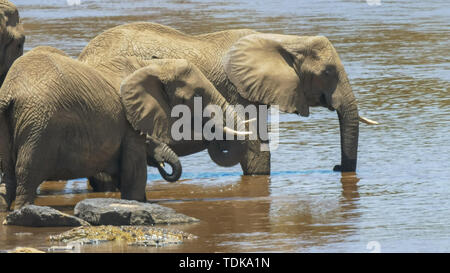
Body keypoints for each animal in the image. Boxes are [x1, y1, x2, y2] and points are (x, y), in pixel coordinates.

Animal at [0, 45, 250, 209]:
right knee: (27, 175)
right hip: (39, 127)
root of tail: (10, 90)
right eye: (197, 95)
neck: (152, 66)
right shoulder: (129, 123)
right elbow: (133, 174)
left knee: (8, 178)